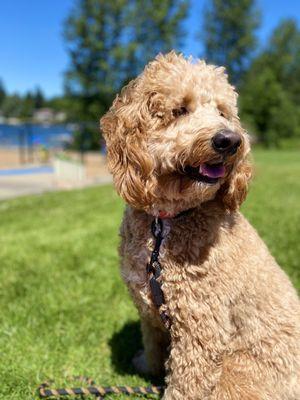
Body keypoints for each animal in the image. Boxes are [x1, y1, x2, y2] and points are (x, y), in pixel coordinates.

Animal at [101, 51, 300, 398]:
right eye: (180, 109)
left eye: (222, 112)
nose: (230, 140)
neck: (164, 226)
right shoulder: (151, 314)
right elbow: (153, 344)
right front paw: (146, 366)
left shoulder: (200, 327)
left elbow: (185, 385)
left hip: (237, 378)